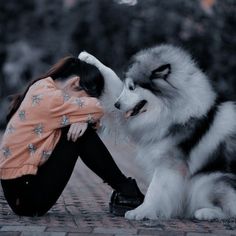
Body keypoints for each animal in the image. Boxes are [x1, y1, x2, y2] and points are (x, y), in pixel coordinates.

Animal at [79, 44, 236, 221]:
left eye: (132, 87)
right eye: (126, 86)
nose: (117, 105)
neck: (169, 108)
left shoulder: (169, 164)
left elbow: (155, 190)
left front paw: (141, 211)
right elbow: (111, 78)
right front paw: (87, 56)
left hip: (207, 180)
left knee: (230, 209)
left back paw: (205, 213)